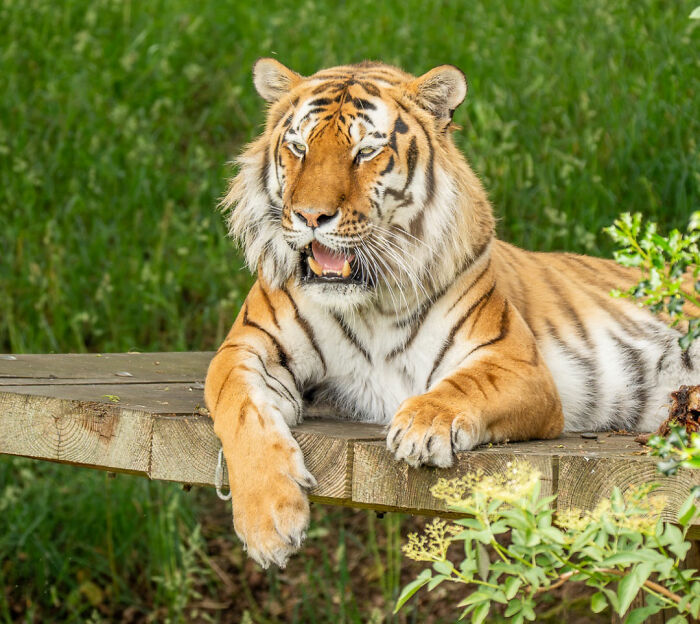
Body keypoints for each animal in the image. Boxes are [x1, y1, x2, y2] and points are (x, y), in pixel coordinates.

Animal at [204, 58, 699, 568]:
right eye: (299, 147)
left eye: (366, 151)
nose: (310, 216)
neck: (369, 302)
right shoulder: (245, 347)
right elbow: (238, 407)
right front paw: (268, 520)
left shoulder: (515, 361)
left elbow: (464, 384)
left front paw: (423, 425)